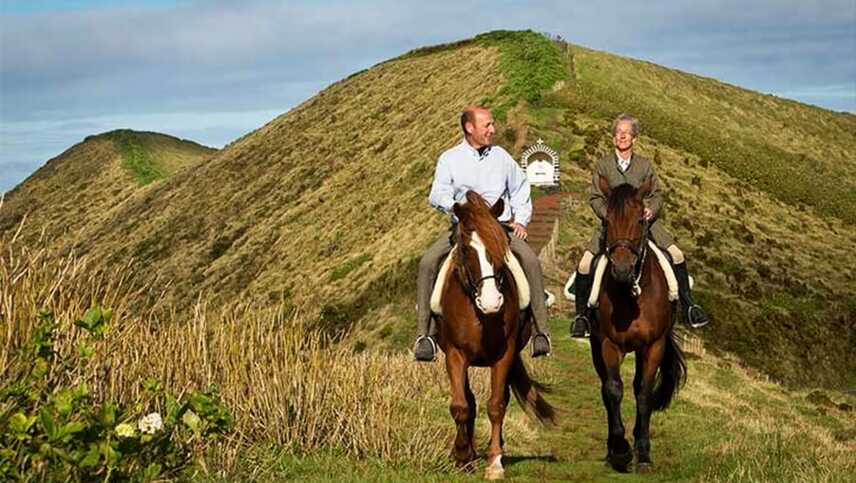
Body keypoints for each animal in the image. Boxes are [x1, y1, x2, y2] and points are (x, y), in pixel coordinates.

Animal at [438, 192, 552, 480]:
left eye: (501, 247)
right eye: (466, 250)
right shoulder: (455, 355)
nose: (491, 303)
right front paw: (462, 456)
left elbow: (496, 405)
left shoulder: (504, 355)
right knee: (468, 400)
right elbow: (461, 405)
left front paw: (494, 463)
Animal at [592, 177, 684, 472]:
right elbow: (613, 390)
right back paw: (612, 449)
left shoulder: (654, 346)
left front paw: (642, 452)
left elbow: (643, 393)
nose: (621, 270)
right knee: (606, 388)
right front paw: (620, 450)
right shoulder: (608, 344)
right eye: (606, 220)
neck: (632, 293)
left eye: (641, 220)